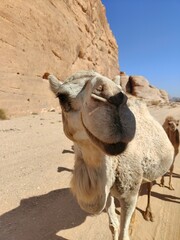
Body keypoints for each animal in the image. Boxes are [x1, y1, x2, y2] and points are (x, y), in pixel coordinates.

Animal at [44, 71, 174, 240]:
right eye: (62, 97)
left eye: (121, 90)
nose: (114, 96)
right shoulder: (107, 192)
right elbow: (113, 226)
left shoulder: (128, 195)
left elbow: (123, 233)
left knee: (149, 186)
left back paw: (148, 213)